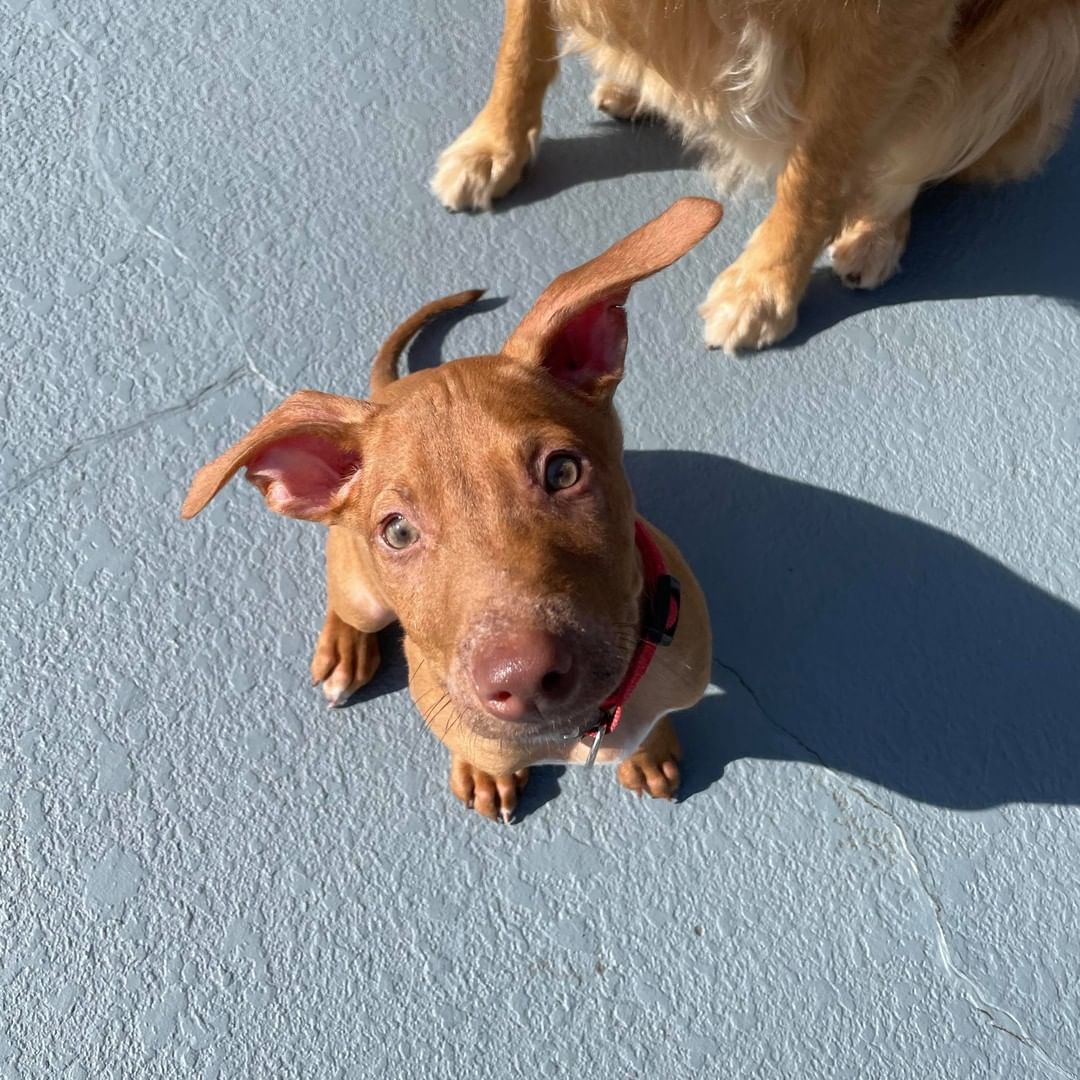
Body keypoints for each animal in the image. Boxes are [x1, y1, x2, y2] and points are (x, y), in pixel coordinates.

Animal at [181, 196, 721, 816]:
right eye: (397, 532)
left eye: (563, 471)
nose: (524, 676)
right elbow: (478, 748)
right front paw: (486, 773)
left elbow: (653, 722)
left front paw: (650, 750)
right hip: (362, 594)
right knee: (345, 602)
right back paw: (343, 651)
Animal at [429, 0, 1080, 349]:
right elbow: (521, 44)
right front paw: (493, 144)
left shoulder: (884, 22)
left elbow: (818, 165)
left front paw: (765, 286)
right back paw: (632, 85)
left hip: (1038, 40)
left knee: (908, 151)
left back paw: (871, 233)